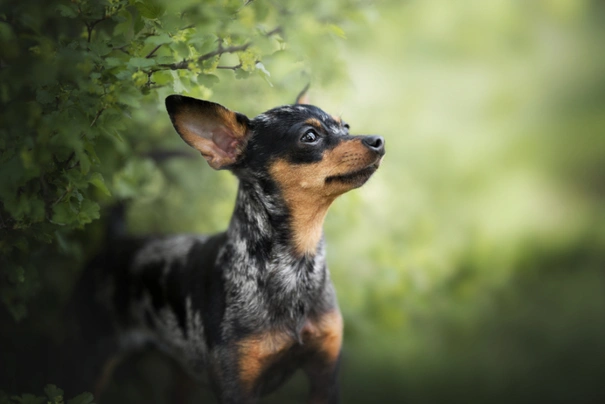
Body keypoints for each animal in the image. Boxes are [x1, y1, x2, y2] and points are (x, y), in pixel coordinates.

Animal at [78, 92, 384, 404]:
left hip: (182, 373)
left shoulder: (325, 375)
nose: (377, 140)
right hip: (91, 362)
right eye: (309, 136)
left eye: (345, 126)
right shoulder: (238, 385)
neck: (293, 269)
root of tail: (115, 240)